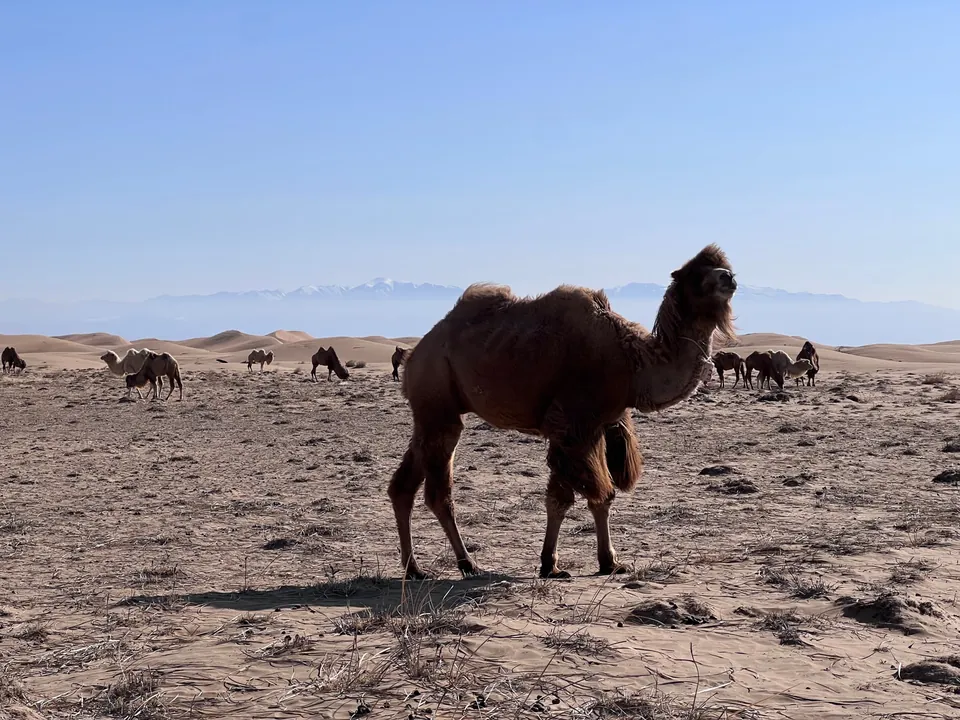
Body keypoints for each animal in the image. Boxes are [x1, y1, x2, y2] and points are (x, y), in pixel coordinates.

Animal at [387, 244, 737, 580]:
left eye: (725, 267)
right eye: (696, 275)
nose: (728, 279)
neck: (633, 362)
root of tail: (416, 353)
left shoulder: (601, 425)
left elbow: (602, 496)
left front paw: (610, 562)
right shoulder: (571, 424)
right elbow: (564, 498)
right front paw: (550, 565)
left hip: (432, 409)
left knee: (403, 485)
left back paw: (413, 568)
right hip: (438, 395)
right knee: (438, 491)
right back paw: (468, 564)